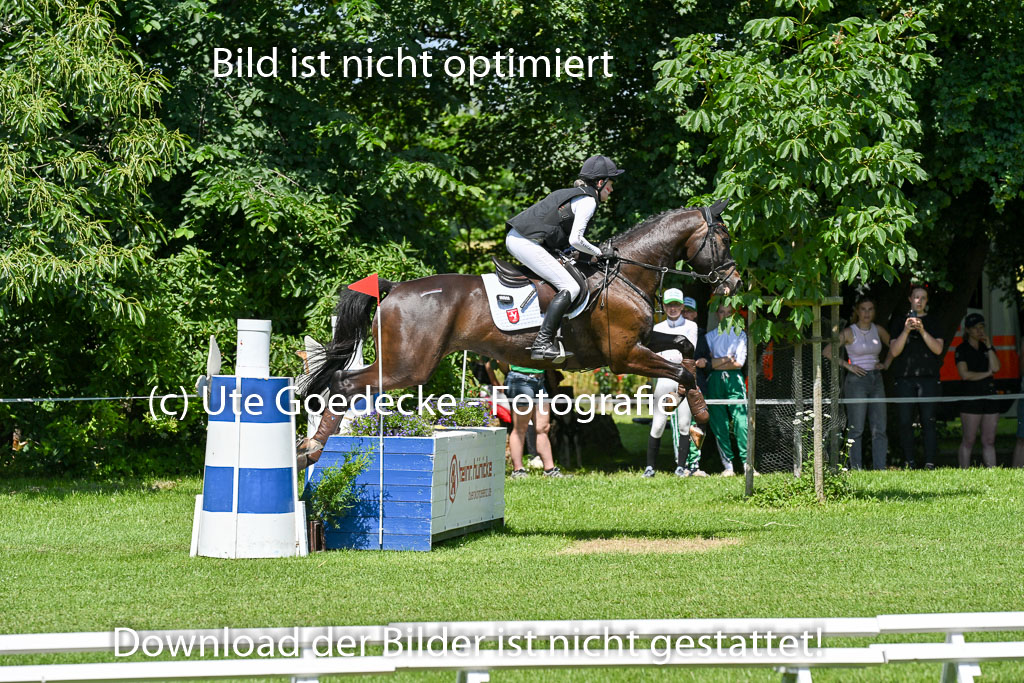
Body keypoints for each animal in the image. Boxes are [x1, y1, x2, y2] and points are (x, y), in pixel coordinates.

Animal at [295, 201, 741, 467]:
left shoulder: (642, 343)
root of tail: (394, 288)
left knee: (345, 382)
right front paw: (701, 417)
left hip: (405, 364)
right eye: (723, 239)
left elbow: (684, 347)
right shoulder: (624, 356)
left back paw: (310, 448)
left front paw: (692, 407)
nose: (734, 282)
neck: (626, 273)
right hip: (409, 366)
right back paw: (310, 449)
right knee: (344, 382)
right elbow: (681, 371)